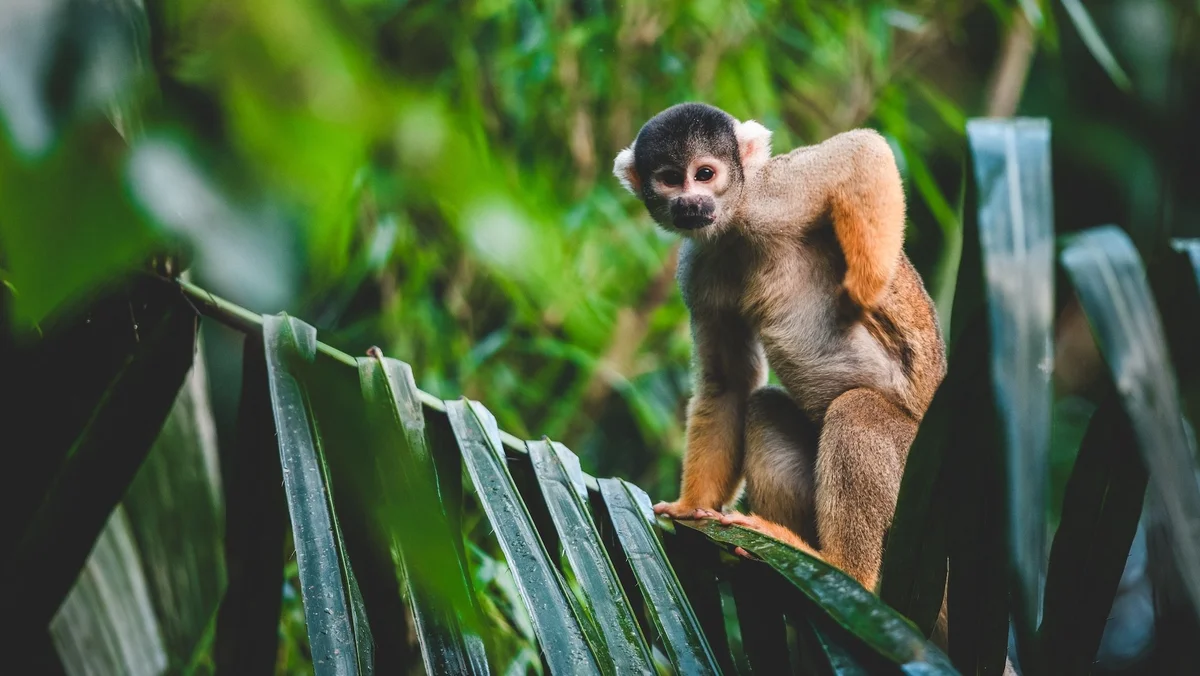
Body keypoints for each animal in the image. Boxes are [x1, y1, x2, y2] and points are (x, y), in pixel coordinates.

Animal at [612, 102, 947, 595]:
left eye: (705, 173)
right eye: (671, 178)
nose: (691, 203)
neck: (734, 225)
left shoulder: (771, 195)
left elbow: (862, 151)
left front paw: (866, 288)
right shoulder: (696, 270)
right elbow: (729, 383)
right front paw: (690, 505)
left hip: (918, 484)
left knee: (857, 409)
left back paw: (842, 569)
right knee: (764, 407)